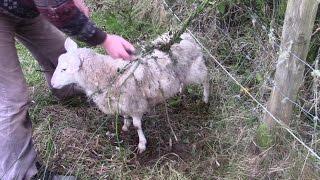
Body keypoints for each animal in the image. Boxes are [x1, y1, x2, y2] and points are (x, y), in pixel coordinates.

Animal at [51, 33, 209, 153]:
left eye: (64, 69)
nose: (52, 84)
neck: (108, 75)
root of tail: (187, 36)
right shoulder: (123, 103)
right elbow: (125, 116)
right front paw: (125, 127)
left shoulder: (135, 104)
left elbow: (137, 125)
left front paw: (142, 144)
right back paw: (181, 91)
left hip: (195, 69)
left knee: (206, 79)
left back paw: (206, 98)